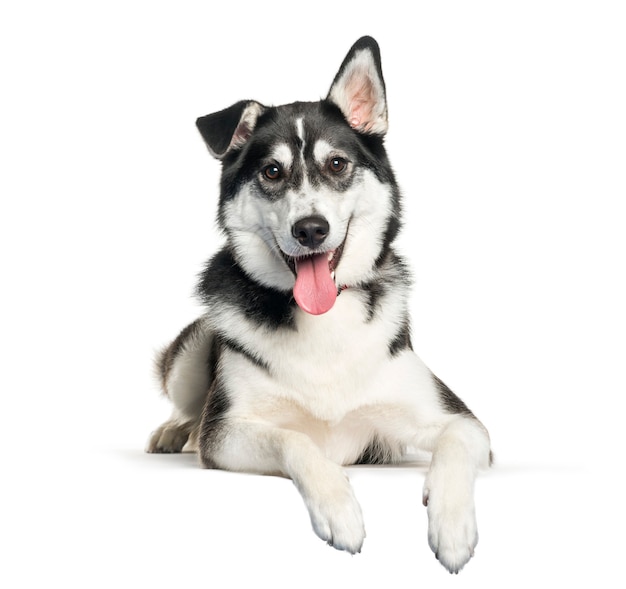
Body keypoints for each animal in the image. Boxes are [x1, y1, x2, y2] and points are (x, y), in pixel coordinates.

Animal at [146, 35, 488, 568]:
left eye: (337, 164)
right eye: (272, 171)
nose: (310, 229)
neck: (323, 321)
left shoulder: (460, 423)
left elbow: (456, 443)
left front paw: (452, 527)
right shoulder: (226, 434)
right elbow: (296, 438)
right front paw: (339, 509)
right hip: (195, 346)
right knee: (189, 408)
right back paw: (173, 432)